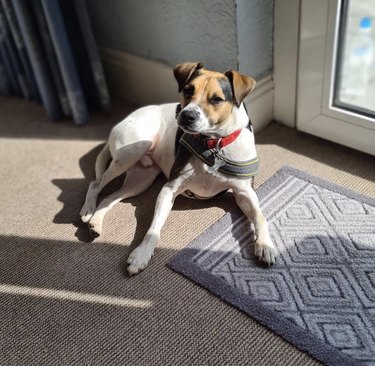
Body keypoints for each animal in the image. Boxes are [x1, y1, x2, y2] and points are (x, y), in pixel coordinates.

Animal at [81, 62, 278, 274]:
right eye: (188, 90)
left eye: (217, 99)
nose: (186, 115)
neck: (212, 145)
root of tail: (122, 121)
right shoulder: (169, 189)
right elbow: (153, 229)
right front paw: (142, 254)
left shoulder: (244, 193)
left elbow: (260, 216)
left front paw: (265, 245)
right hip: (132, 151)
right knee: (96, 183)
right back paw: (87, 210)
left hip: (140, 180)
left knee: (108, 198)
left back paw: (95, 223)